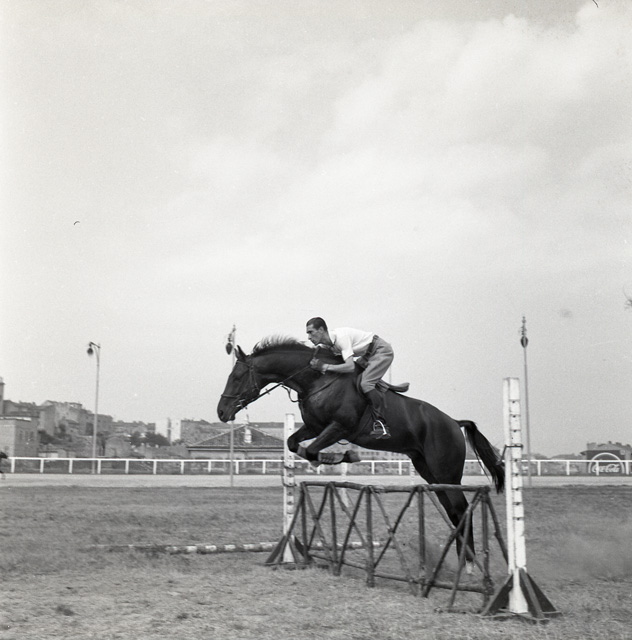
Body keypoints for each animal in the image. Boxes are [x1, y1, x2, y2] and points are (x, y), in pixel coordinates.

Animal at [217, 336, 504, 562]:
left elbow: (312, 451)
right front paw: (331, 459)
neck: (317, 379)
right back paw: (461, 561)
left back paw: (468, 562)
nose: (221, 412)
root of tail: (455, 422)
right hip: (429, 472)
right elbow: (293, 444)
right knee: (454, 510)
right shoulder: (314, 426)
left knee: (461, 508)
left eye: (237, 376)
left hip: (446, 472)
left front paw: (345, 455)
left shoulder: (339, 427)